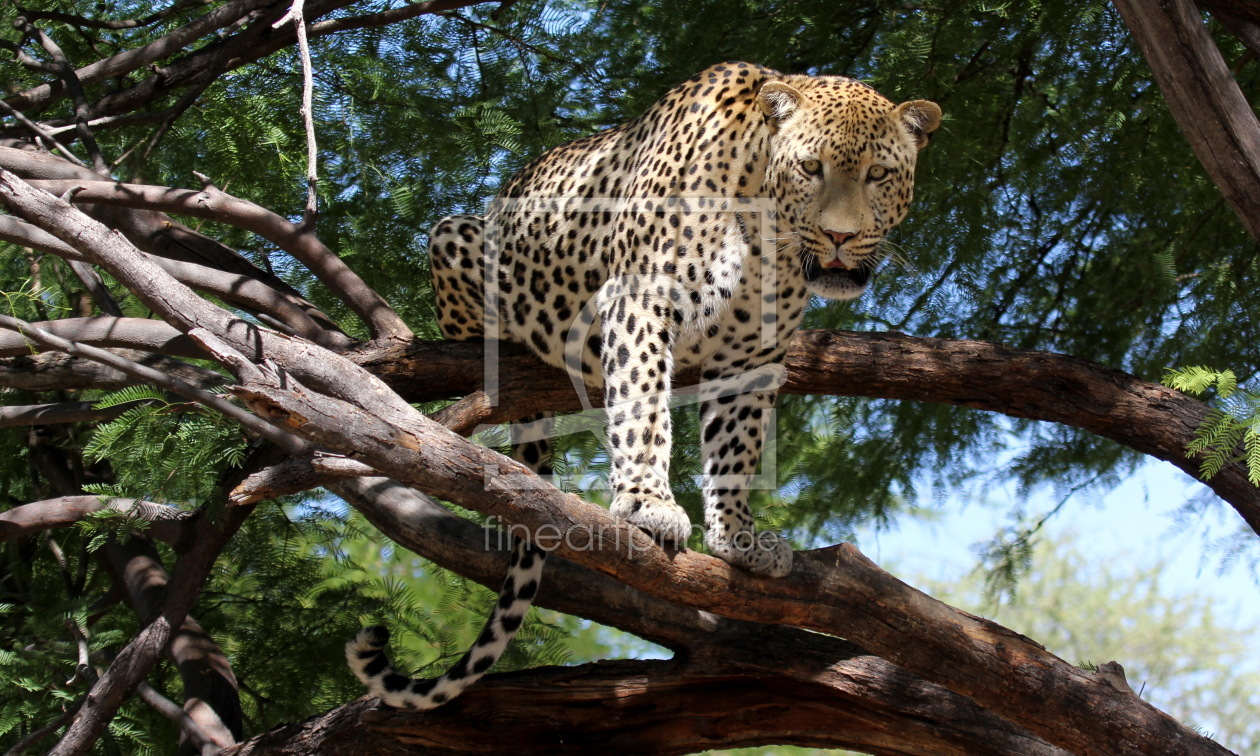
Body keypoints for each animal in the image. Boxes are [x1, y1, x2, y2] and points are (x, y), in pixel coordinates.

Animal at [345, 59, 937, 710]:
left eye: (878, 174)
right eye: (811, 168)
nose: (839, 237)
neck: (766, 239)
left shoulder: (752, 357)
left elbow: (735, 449)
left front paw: (736, 535)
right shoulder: (640, 301)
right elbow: (644, 408)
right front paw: (649, 503)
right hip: (456, 235)